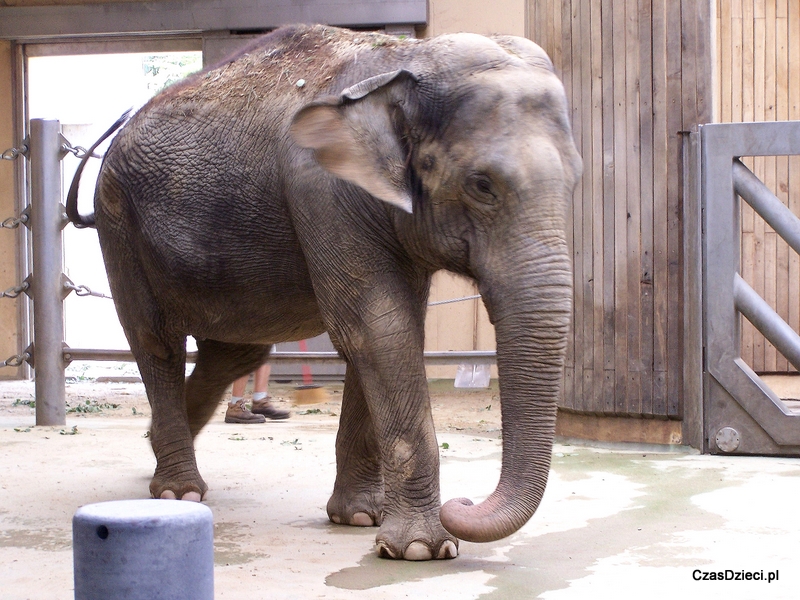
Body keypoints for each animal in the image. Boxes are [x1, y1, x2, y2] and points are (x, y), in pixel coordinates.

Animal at [67, 22, 580, 556]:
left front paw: (360, 518)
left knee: (233, 352)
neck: (405, 59)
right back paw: (178, 492)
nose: (462, 503)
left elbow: (386, 331)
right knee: (155, 341)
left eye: (576, 179)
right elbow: (377, 328)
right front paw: (421, 549)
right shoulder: (323, 190)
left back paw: (155, 451)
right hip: (119, 224)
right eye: (482, 185)